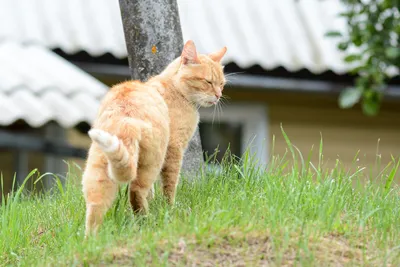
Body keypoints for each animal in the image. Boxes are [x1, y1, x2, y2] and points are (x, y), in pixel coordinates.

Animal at [82, 40, 225, 237]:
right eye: (208, 82)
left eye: (222, 84)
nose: (218, 95)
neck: (174, 87)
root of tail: (124, 119)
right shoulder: (174, 149)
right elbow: (169, 185)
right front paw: (169, 207)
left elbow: (152, 191)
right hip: (153, 161)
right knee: (136, 192)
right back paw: (146, 221)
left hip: (99, 170)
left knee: (95, 206)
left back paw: (92, 239)